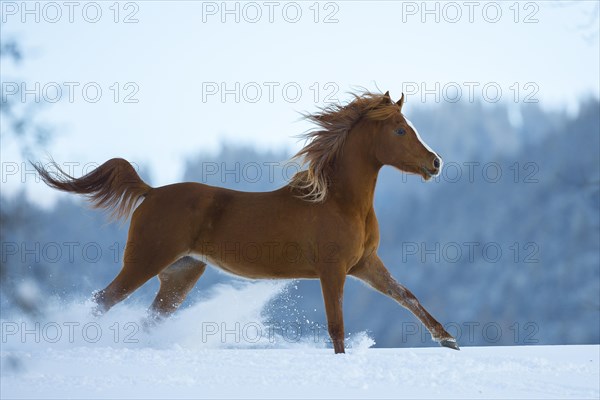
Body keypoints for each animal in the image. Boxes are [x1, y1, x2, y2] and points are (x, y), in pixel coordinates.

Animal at [34, 91, 460, 354]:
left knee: (147, 319)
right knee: (101, 302)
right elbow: (336, 326)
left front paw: (449, 340)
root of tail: (150, 192)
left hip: (179, 275)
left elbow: (407, 296)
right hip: (143, 262)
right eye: (400, 129)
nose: (435, 162)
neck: (340, 202)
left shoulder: (365, 265)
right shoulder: (333, 269)